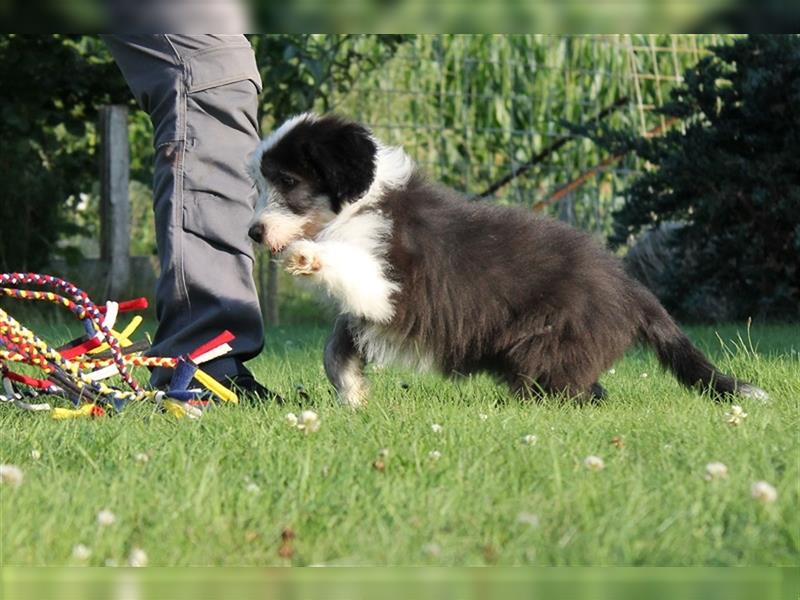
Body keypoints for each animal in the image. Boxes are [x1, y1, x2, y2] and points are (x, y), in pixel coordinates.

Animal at [245, 113, 768, 408]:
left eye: (288, 182)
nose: (254, 233)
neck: (361, 205)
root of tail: (632, 287)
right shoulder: (366, 309)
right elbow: (335, 348)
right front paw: (353, 395)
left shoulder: (389, 283)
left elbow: (349, 270)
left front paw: (306, 254)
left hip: (550, 340)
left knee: (570, 389)